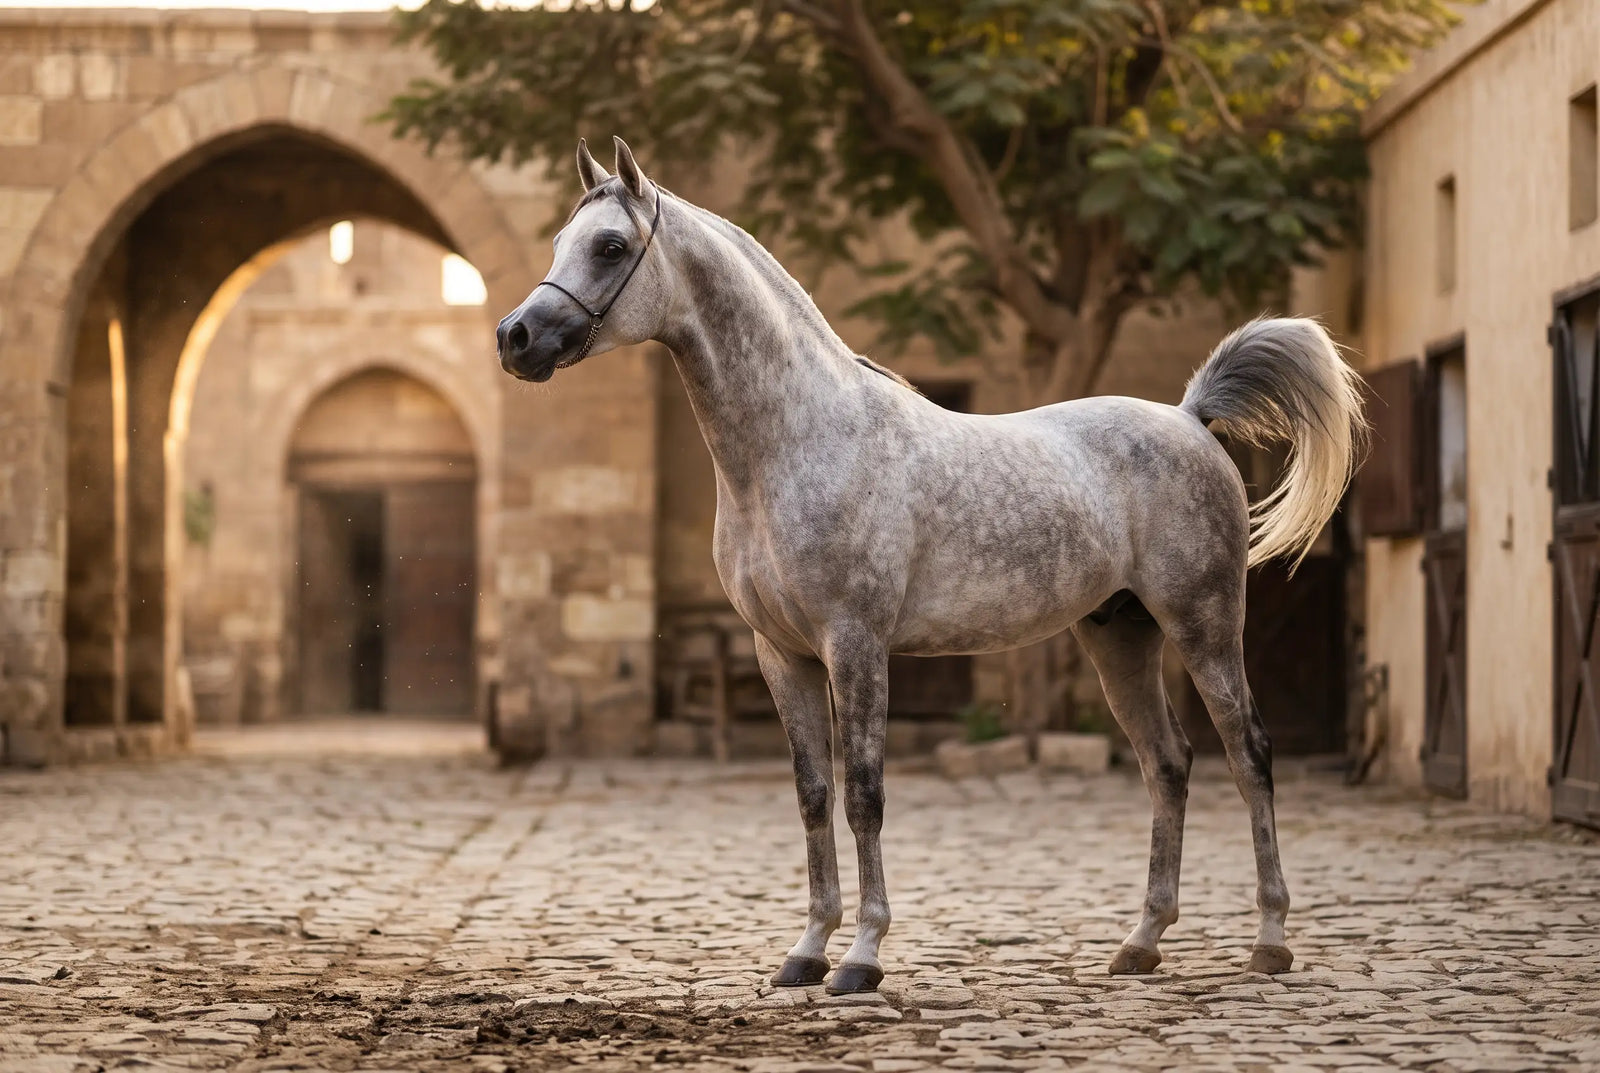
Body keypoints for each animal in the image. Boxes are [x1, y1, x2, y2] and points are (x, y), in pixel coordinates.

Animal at [496, 137, 1365, 995]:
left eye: (610, 246)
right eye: (560, 241)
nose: (516, 338)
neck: (798, 442)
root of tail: (1190, 418)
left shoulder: (855, 644)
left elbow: (864, 793)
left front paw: (861, 956)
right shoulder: (780, 654)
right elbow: (813, 795)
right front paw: (806, 951)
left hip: (1203, 624)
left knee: (1249, 755)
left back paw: (1270, 940)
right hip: (1120, 635)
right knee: (1169, 764)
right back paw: (1140, 943)